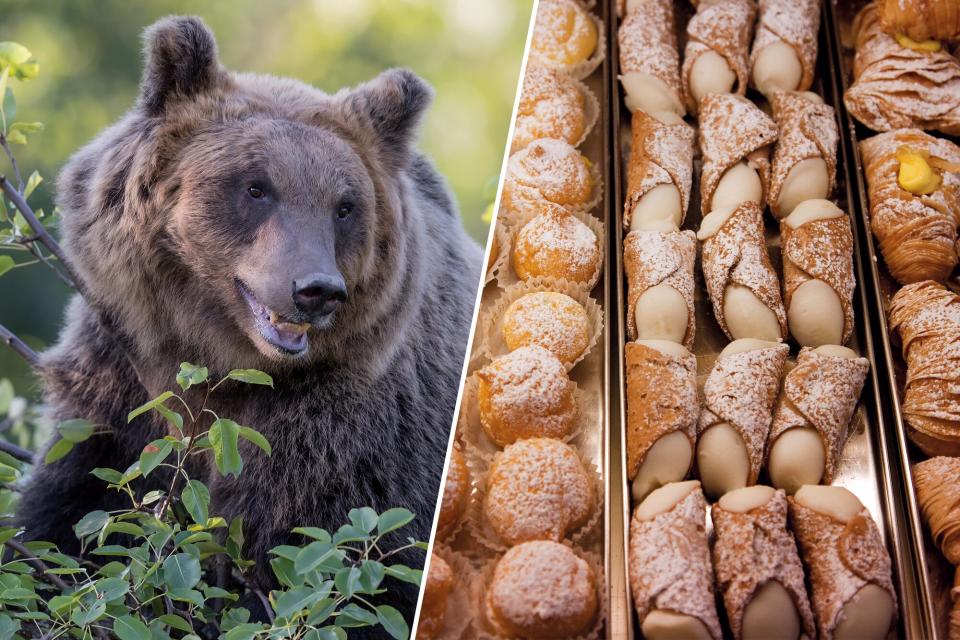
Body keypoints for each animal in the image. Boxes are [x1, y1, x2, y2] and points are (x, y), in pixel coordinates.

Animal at [15, 12, 480, 628]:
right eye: (256, 187)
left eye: (345, 206)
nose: (317, 290)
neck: (224, 362)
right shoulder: (119, 385)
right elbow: (73, 517)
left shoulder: (348, 442)